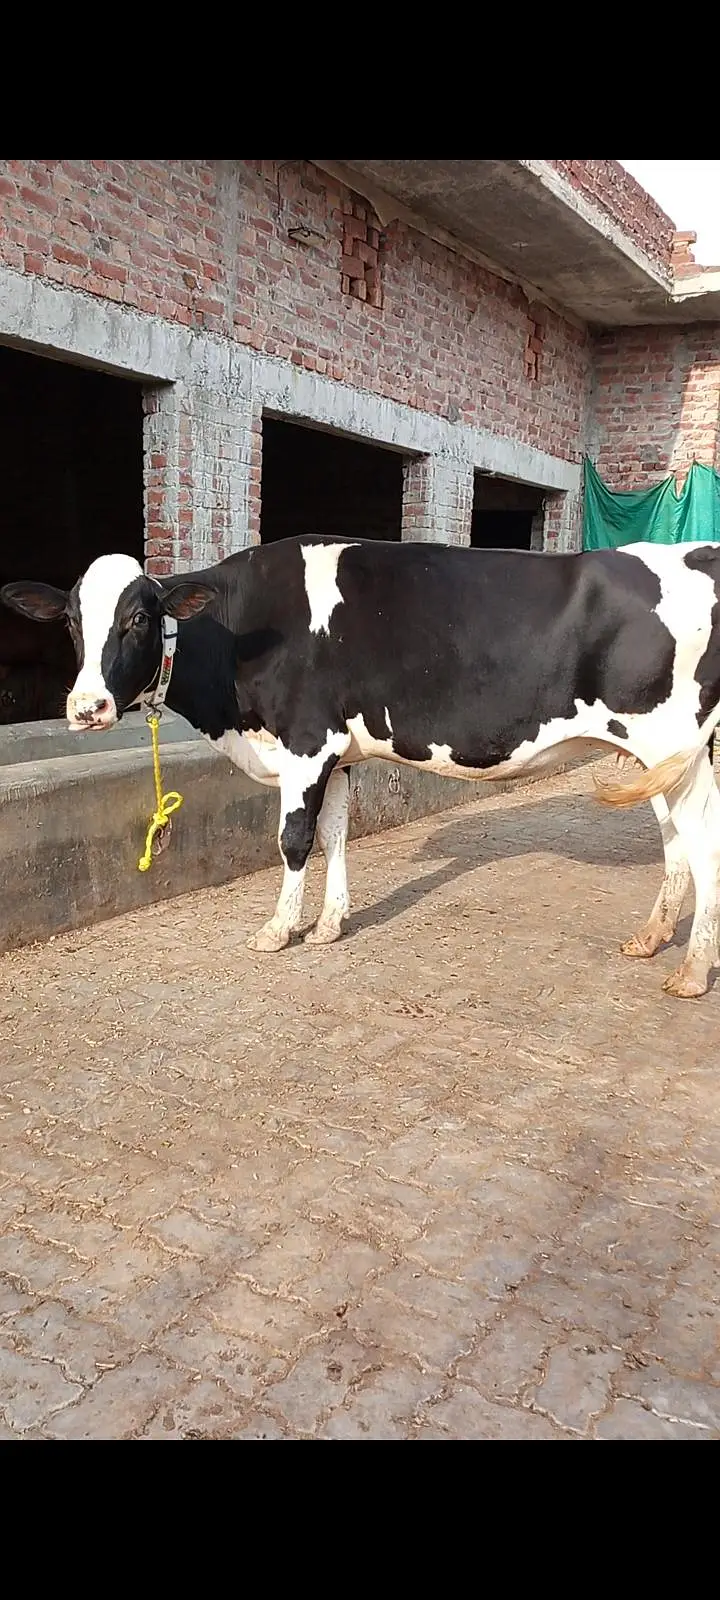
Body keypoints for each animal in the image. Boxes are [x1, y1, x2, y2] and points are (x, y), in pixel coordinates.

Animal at [3, 536, 720, 999]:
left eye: (139, 618)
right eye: (72, 622)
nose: (87, 707)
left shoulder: (306, 741)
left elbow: (294, 840)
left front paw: (278, 930)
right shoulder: (338, 756)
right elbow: (336, 835)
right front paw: (328, 925)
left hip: (675, 741)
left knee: (703, 843)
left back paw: (691, 972)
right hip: (658, 756)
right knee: (676, 842)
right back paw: (651, 938)